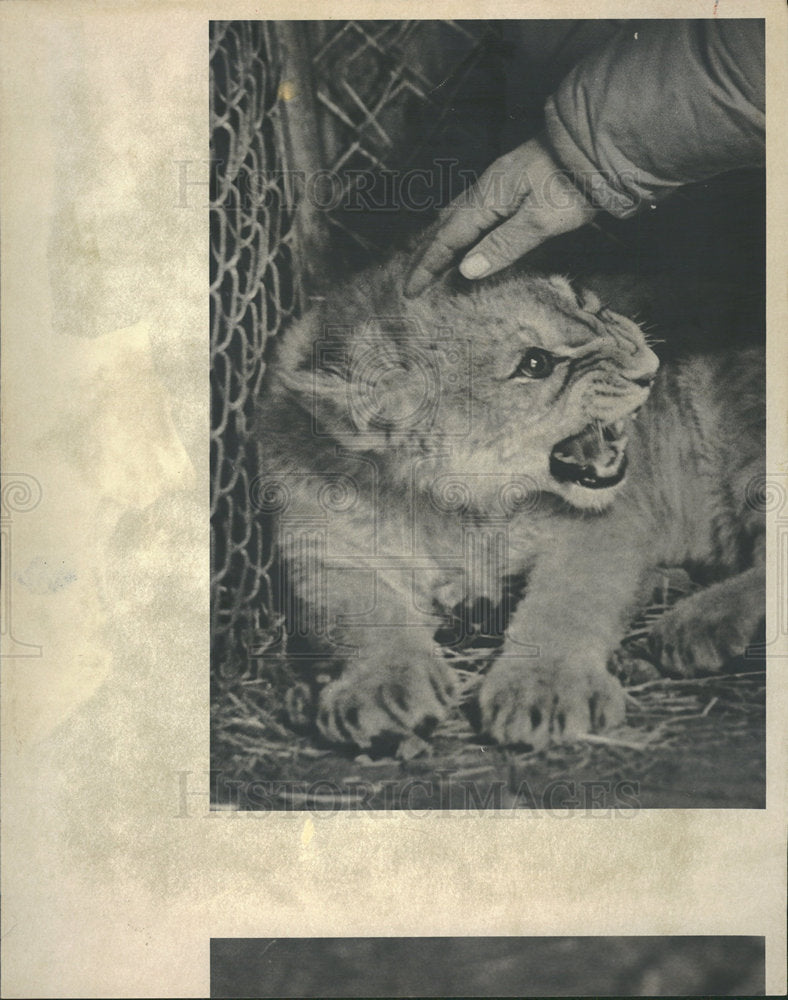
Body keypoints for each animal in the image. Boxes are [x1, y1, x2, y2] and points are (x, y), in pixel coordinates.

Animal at [256, 254, 764, 751]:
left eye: (590, 306)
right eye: (535, 363)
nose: (650, 368)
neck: (454, 510)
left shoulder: (601, 525)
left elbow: (566, 601)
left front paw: (546, 689)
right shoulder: (325, 550)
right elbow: (361, 614)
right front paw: (382, 688)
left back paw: (698, 627)